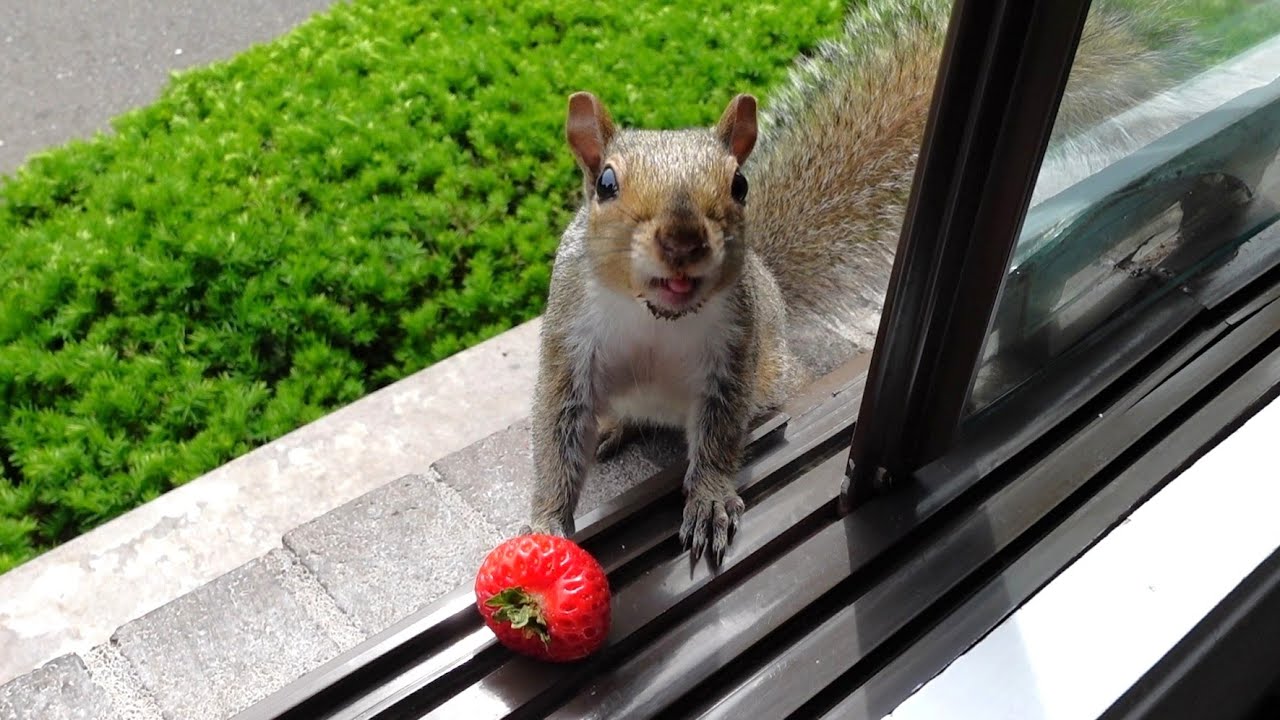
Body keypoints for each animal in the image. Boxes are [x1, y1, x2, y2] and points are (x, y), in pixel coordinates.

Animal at [525, 0, 1193, 564]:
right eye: (606, 184)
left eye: (739, 184)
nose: (684, 242)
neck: (656, 318)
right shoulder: (569, 343)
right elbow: (557, 438)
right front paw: (547, 523)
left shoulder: (734, 353)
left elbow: (716, 433)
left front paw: (710, 497)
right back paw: (616, 426)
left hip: (770, 371)